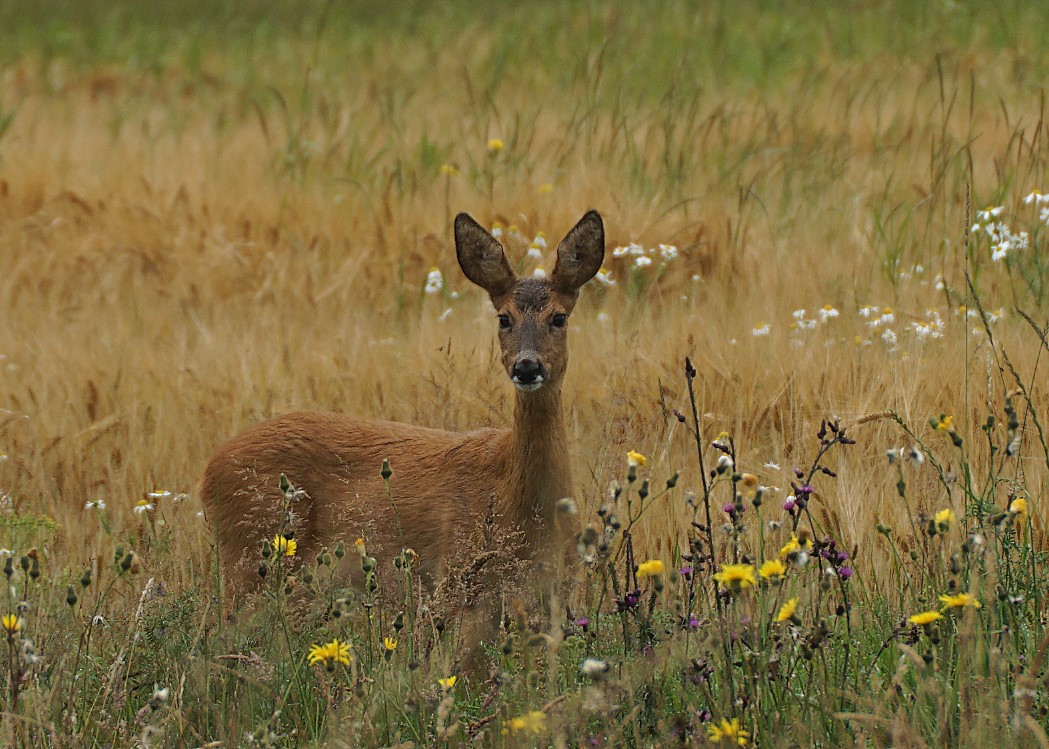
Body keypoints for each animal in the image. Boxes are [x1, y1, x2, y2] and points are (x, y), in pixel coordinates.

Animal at [199, 209, 604, 646]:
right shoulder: (453, 577)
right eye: (504, 318)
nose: (527, 366)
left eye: (559, 317)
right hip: (248, 555)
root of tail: (208, 471)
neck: (523, 504)